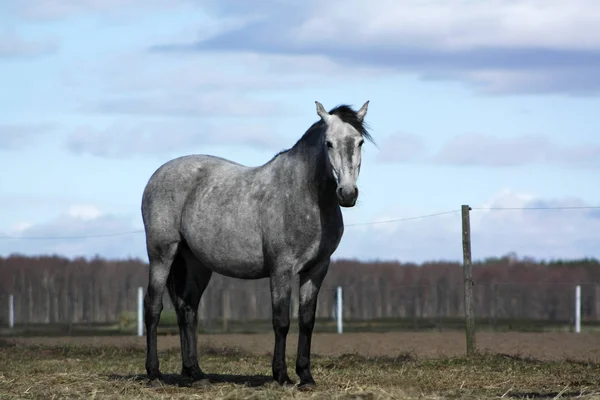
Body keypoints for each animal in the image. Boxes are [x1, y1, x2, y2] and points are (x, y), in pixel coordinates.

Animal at [142, 100, 372, 388]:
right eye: (328, 143)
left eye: (360, 141)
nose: (347, 194)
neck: (303, 195)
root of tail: (157, 175)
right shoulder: (281, 269)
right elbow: (281, 320)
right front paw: (281, 375)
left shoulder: (317, 269)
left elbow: (307, 321)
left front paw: (306, 376)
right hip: (161, 254)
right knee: (153, 307)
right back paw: (154, 373)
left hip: (196, 263)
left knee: (187, 310)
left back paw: (195, 373)